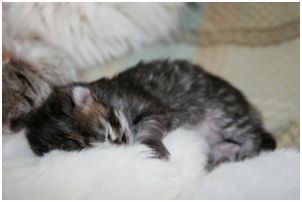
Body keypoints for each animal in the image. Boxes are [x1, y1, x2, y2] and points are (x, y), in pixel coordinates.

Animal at [16, 59, 276, 168]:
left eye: (109, 134)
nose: (123, 145)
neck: (108, 96)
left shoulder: (153, 107)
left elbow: (151, 127)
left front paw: (153, 147)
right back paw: (221, 157)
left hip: (224, 111)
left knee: (252, 132)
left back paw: (248, 150)